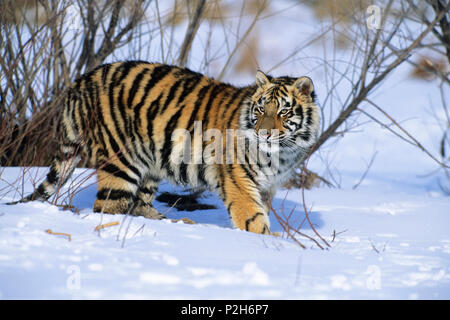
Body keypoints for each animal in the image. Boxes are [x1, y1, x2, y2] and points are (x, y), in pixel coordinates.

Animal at [15, 60, 320, 235]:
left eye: (282, 112)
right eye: (260, 110)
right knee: (109, 206)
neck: (282, 153)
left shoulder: (267, 186)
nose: (264, 133)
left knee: (139, 203)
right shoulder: (239, 181)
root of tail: (82, 79)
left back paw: (170, 223)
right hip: (120, 160)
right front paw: (269, 244)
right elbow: (253, 219)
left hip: (150, 162)